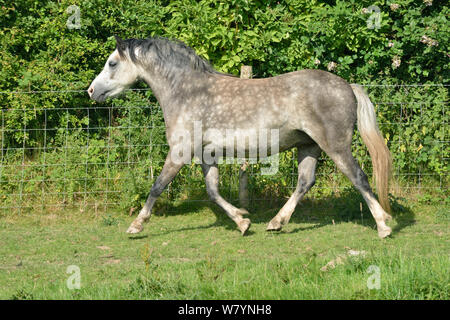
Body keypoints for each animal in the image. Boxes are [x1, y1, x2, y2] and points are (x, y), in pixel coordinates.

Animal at [87, 36, 390, 239]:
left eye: (112, 63)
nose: (91, 91)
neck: (186, 91)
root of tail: (348, 86)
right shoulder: (207, 154)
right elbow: (213, 192)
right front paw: (243, 223)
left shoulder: (179, 152)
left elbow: (157, 187)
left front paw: (136, 225)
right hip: (309, 146)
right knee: (305, 182)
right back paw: (276, 223)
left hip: (335, 146)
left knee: (358, 178)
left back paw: (384, 226)